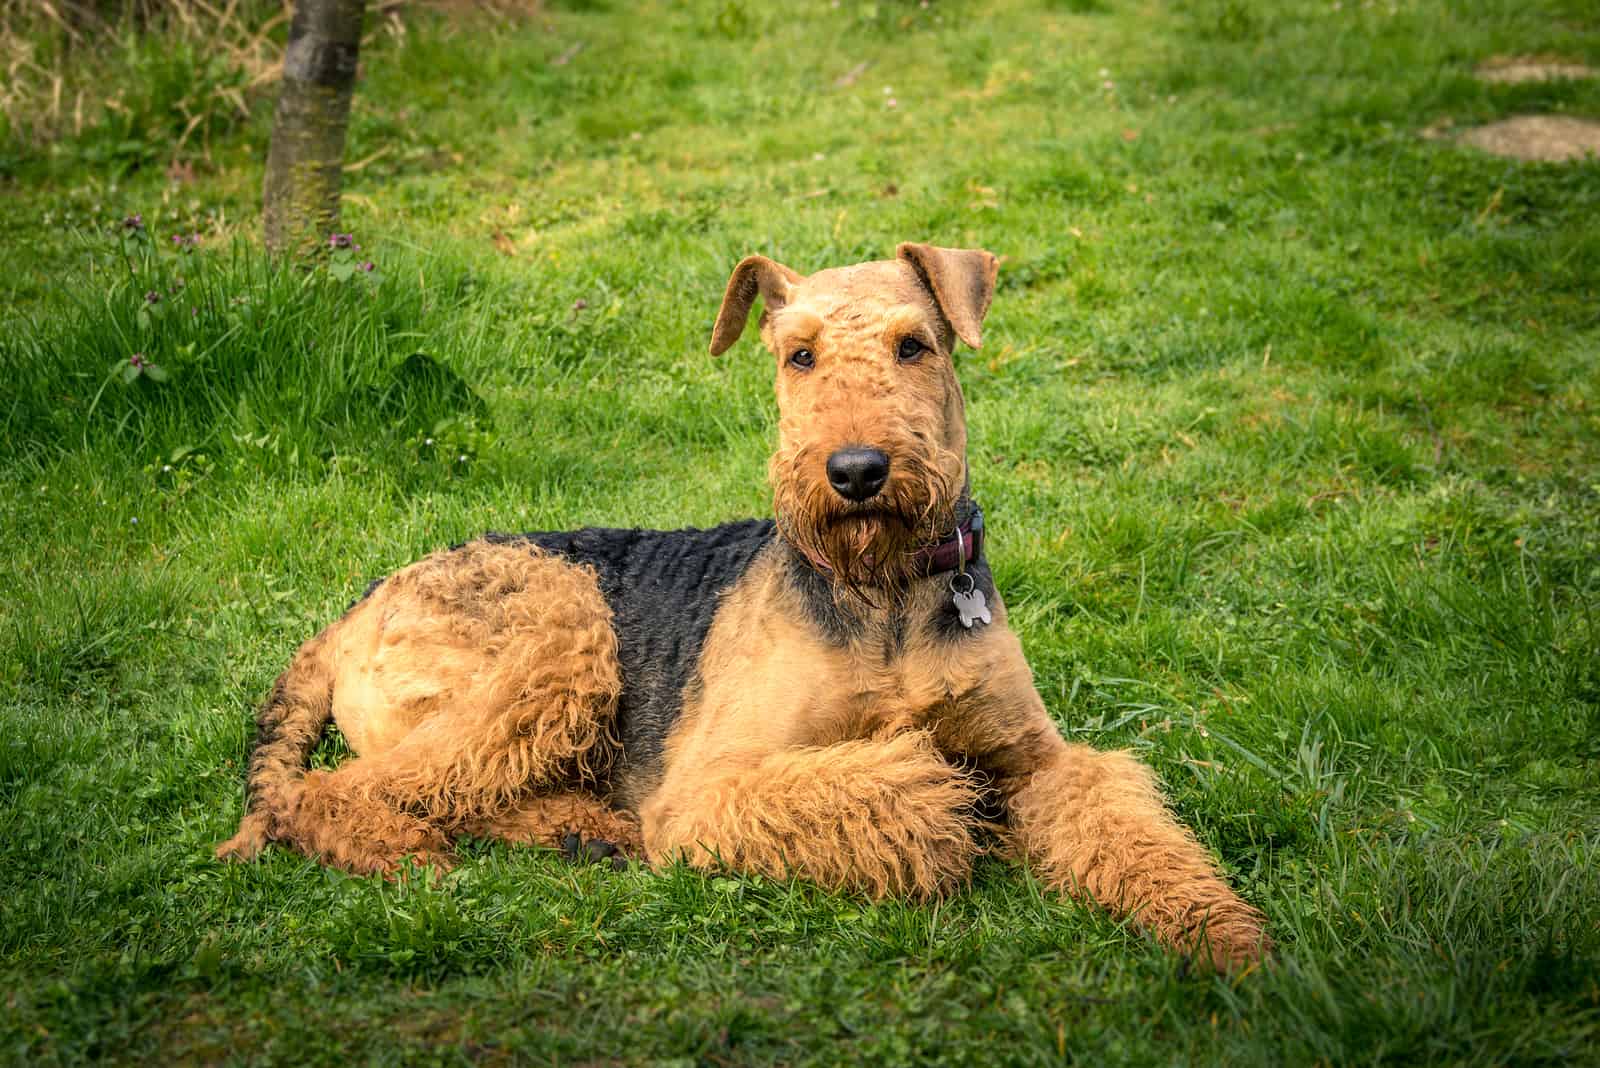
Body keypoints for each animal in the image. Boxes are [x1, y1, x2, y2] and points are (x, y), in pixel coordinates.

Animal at [212, 246, 1267, 972]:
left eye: (914, 345)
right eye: (798, 356)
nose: (856, 471)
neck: (884, 592)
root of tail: (354, 610)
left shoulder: (1041, 761)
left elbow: (1124, 821)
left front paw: (1226, 936)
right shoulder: (708, 786)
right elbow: (905, 786)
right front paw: (940, 792)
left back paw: (588, 830)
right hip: (561, 636)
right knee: (342, 789)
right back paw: (414, 852)